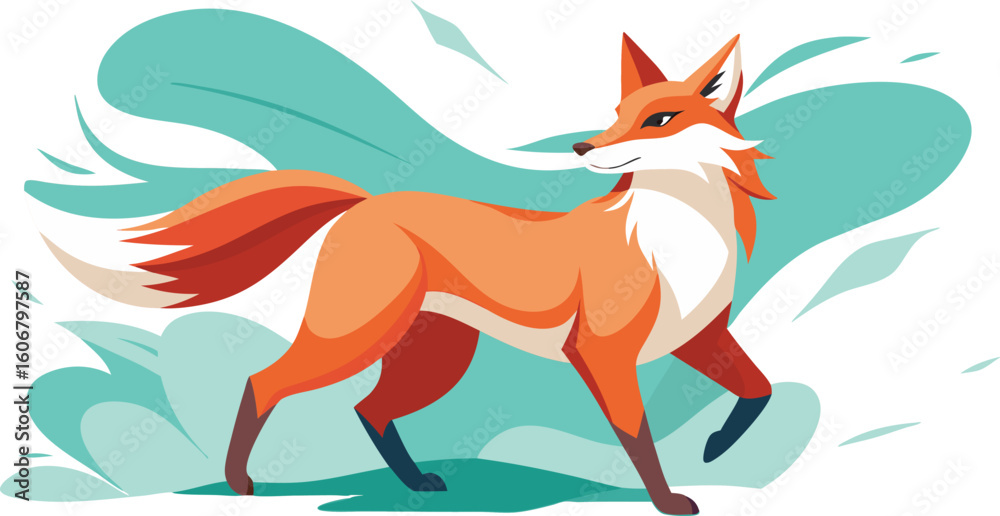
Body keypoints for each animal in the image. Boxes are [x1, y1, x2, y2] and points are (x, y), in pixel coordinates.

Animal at [45, 34, 775, 514]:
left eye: (659, 118)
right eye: (618, 114)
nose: (582, 147)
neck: (674, 235)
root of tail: (366, 201)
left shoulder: (699, 337)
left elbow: (758, 391)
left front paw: (716, 447)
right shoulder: (603, 353)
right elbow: (640, 439)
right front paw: (672, 499)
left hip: (436, 354)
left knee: (368, 408)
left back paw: (415, 485)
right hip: (357, 336)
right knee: (264, 382)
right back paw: (239, 484)